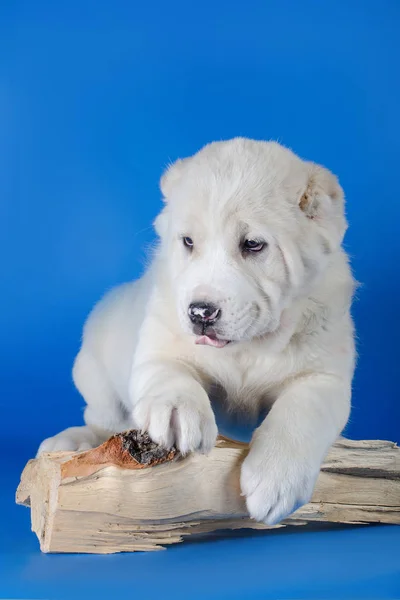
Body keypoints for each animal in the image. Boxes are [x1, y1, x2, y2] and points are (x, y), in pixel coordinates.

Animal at [39, 138, 354, 524]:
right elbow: (169, 372)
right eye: (188, 242)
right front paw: (178, 411)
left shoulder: (325, 378)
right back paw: (73, 440)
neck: (249, 347)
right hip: (92, 371)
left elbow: (301, 410)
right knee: (101, 420)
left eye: (253, 244)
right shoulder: (159, 343)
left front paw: (275, 478)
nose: (200, 312)